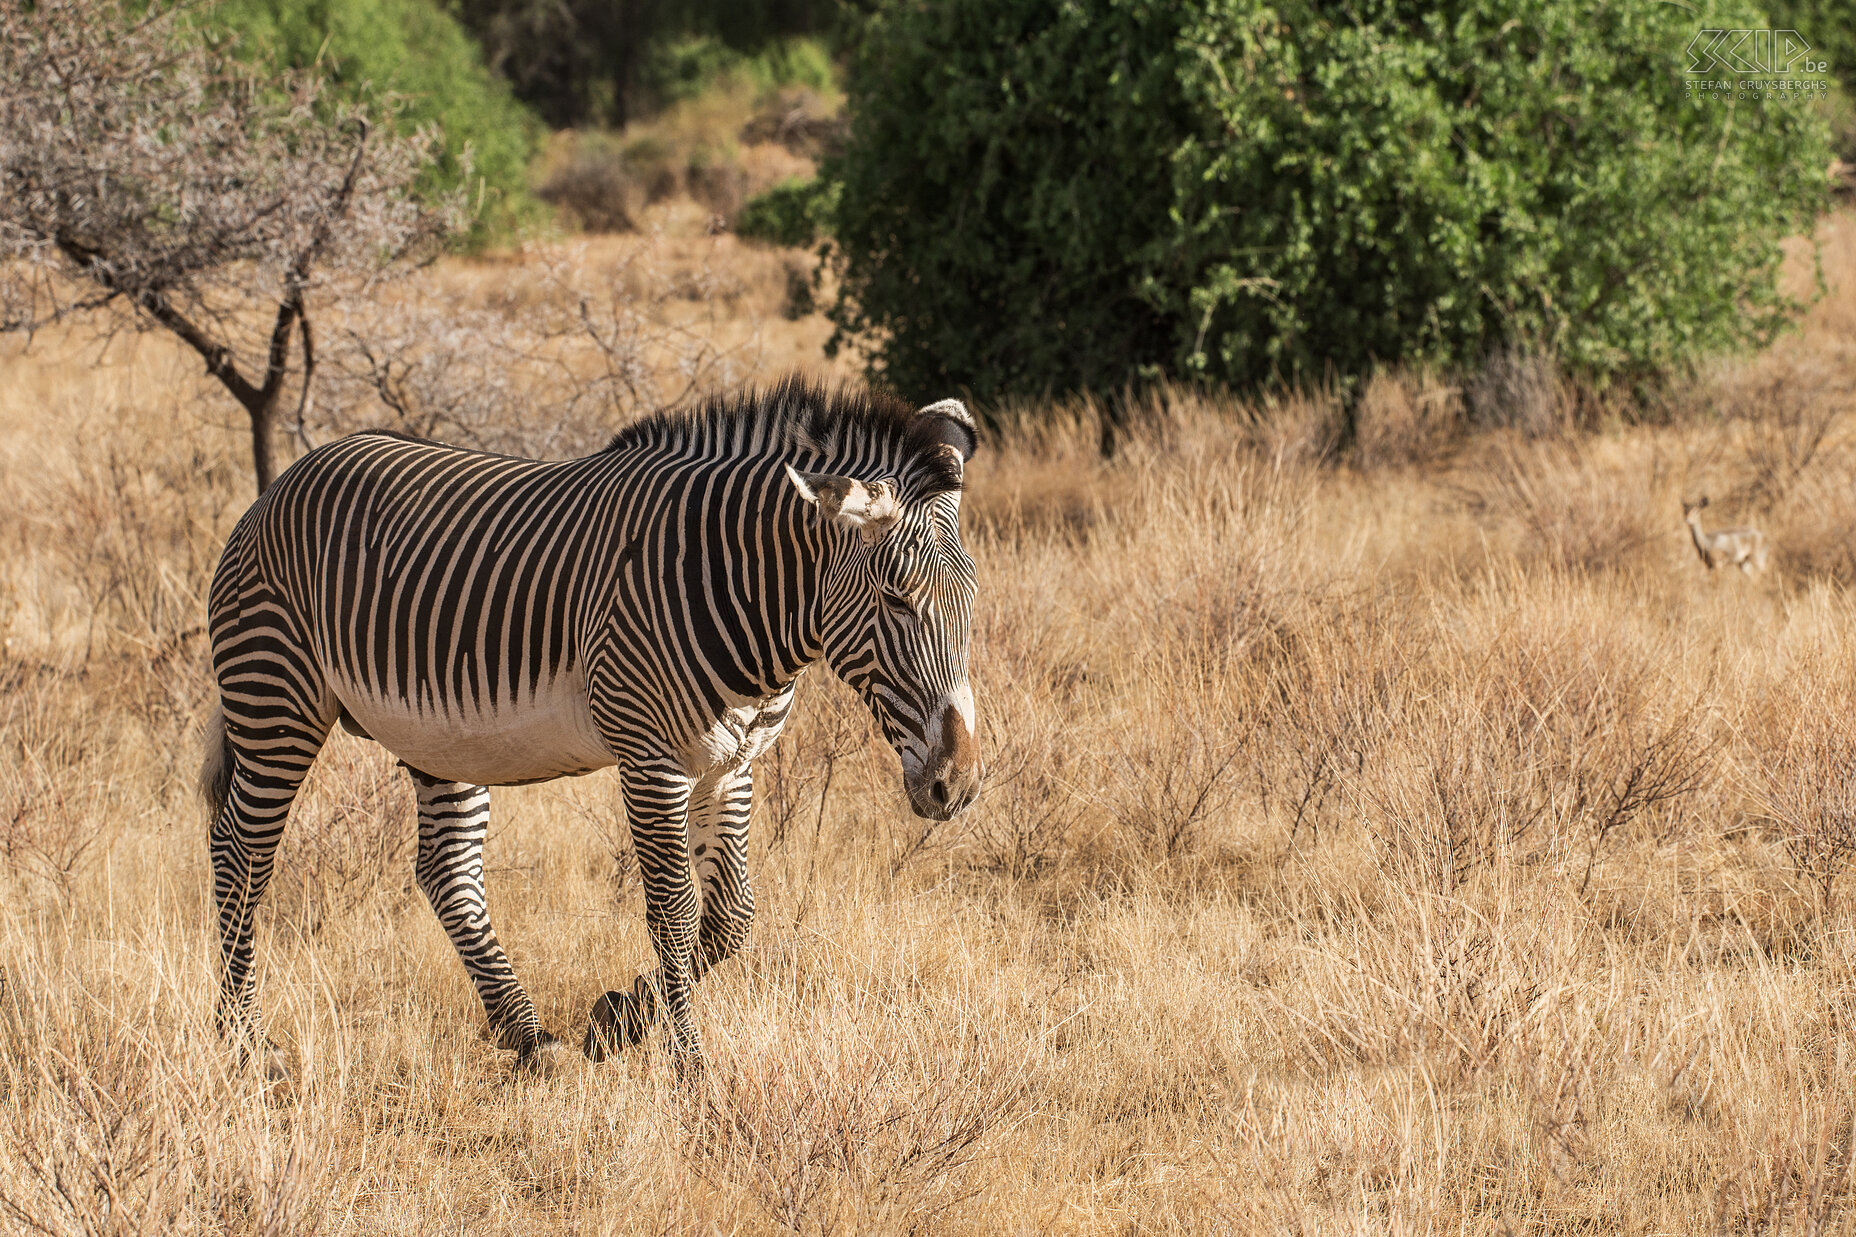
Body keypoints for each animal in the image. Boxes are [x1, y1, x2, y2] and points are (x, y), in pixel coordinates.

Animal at [199, 378, 987, 1069]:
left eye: (972, 597)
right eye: (897, 598)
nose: (958, 785)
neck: (740, 592)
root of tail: (286, 477)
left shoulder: (733, 761)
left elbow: (732, 915)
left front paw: (618, 1020)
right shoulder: (650, 757)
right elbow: (673, 911)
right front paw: (689, 1068)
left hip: (439, 737)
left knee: (445, 869)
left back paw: (525, 1035)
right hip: (276, 695)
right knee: (241, 850)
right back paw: (245, 1043)